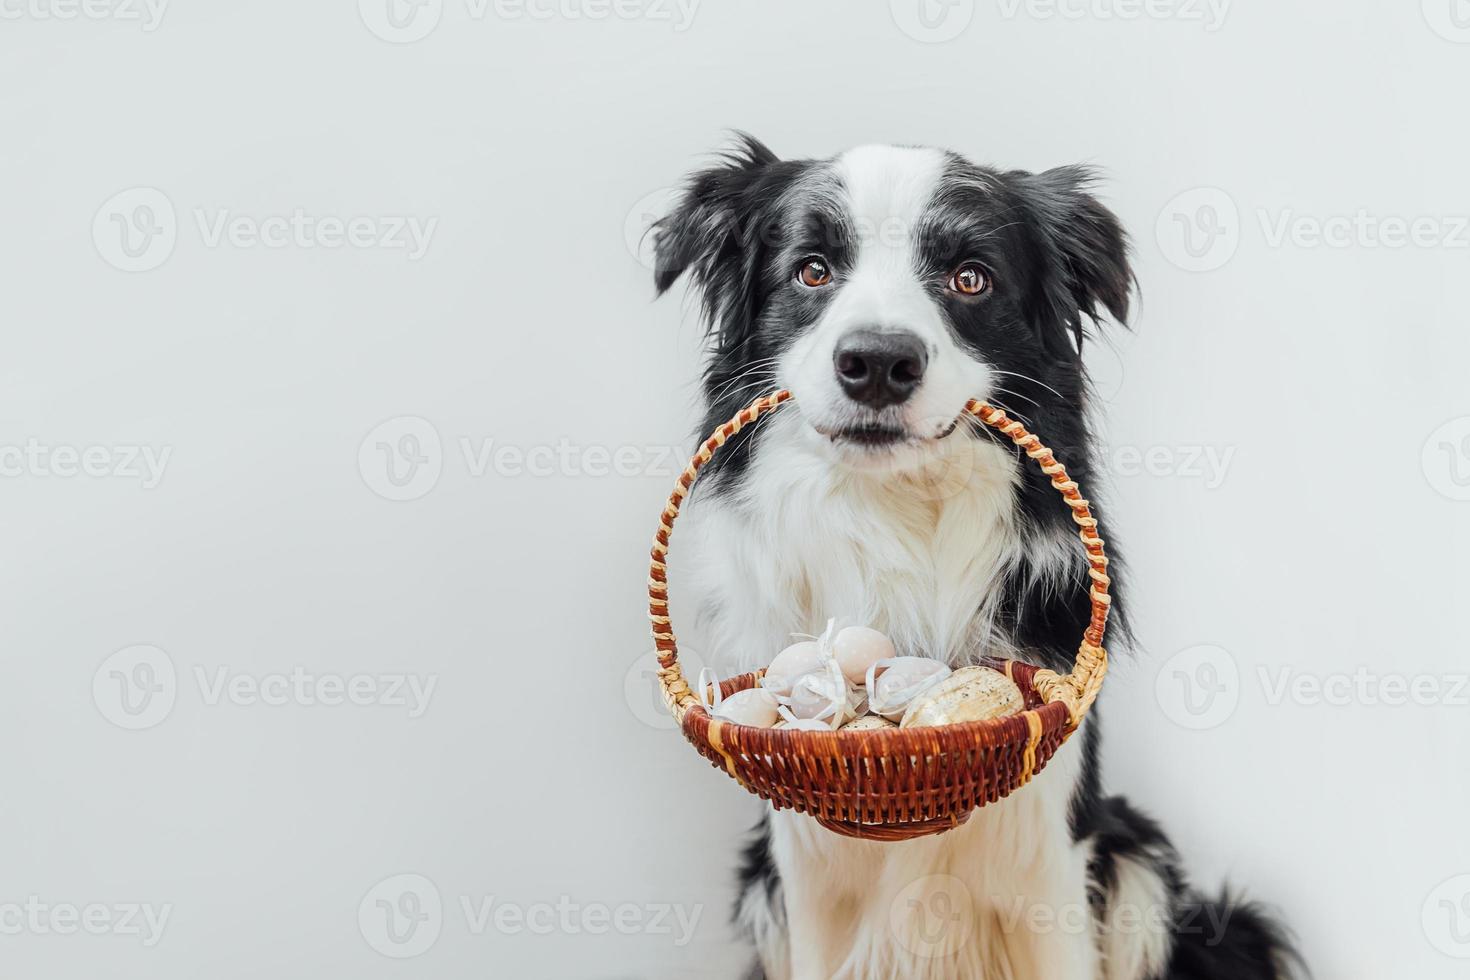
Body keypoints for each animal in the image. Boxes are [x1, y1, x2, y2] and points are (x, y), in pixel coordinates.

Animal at [649, 135, 1293, 980]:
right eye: (812, 269)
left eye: (970, 278)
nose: (877, 362)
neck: (898, 515)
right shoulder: (806, 870)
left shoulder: (1050, 857)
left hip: (1141, 866)